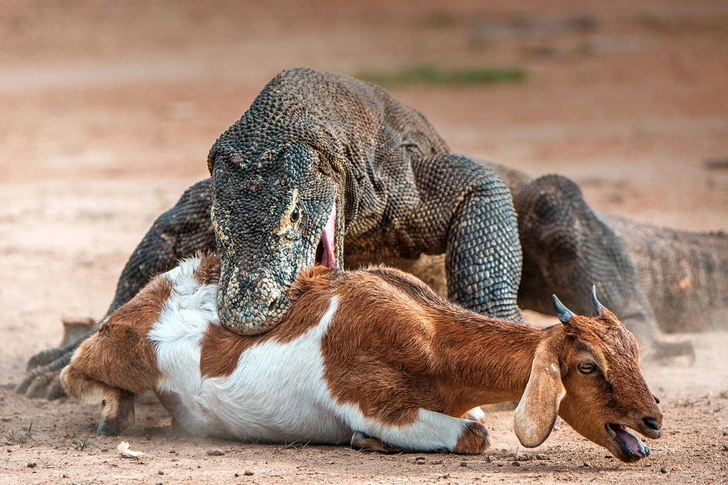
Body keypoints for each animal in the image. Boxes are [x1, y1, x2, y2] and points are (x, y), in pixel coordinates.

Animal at [62, 253, 664, 462]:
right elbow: (474, 434)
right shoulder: (373, 401)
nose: (652, 419)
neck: (431, 337)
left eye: (633, 352)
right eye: (588, 366)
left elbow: (473, 421)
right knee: (77, 367)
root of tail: (178, 277)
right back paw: (113, 410)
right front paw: (364, 441)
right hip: (122, 348)